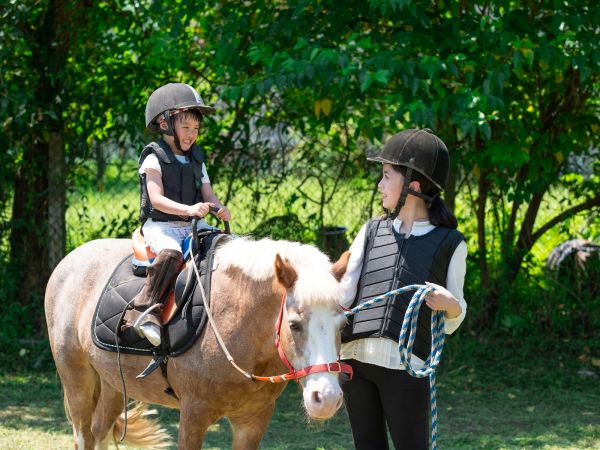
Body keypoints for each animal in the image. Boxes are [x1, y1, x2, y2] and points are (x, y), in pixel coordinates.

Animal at [45, 236, 352, 449]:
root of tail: (70, 259)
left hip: (112, 383)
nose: (326, 399)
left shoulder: (253, 419)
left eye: (343, 326)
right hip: (76, 379)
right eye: (294, 325)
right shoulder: (193, 414)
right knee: (84, 435)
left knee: (101, 431)